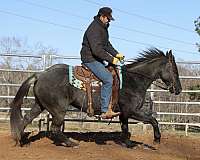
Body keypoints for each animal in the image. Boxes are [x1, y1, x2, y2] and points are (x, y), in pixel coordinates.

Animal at [9, 47, 181, 148]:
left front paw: (128, 143)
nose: (178, 89)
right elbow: (153, 120)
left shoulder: (124, 113)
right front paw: (157, 139)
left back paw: (21, 141)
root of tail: (40, 74)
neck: (132, 80)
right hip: (58, 110)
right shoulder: (132, 111)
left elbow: (125, 128)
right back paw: (71, 143)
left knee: (26, 120)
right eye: (174, 70)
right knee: (55, 129)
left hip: (40, 105)